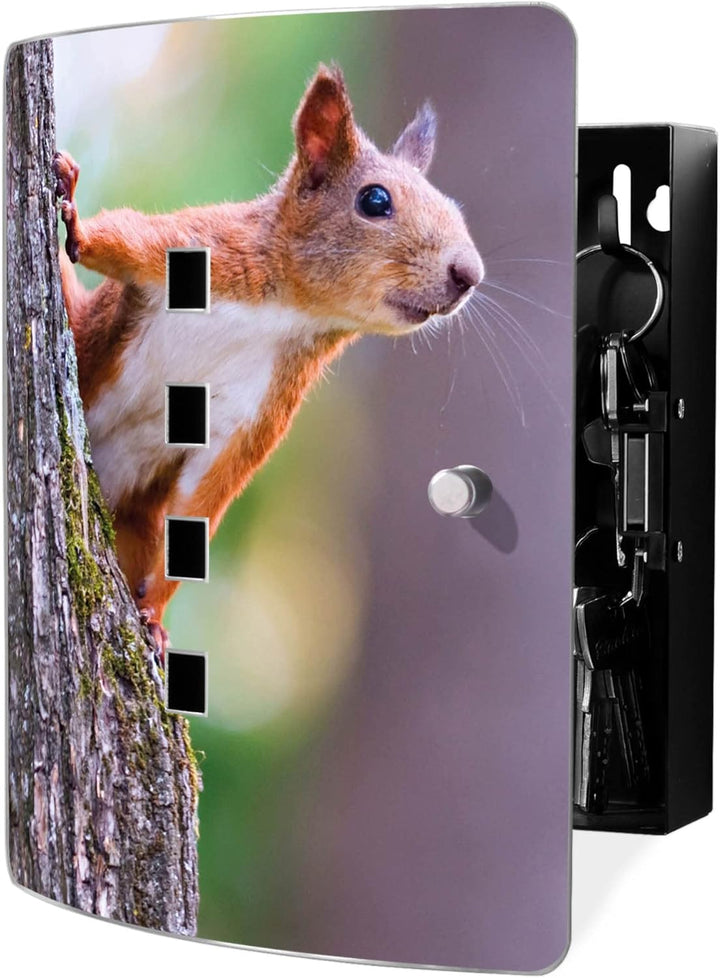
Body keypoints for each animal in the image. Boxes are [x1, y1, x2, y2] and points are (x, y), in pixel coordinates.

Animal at [53, 65, 483, 652]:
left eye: (455, 208)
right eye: (375, 201)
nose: (469, 274)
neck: (288, 311)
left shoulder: (263, 404)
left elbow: (206, 495)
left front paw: (155, 615)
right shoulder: (200, 246)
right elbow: (120, 239)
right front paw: (74, 219)